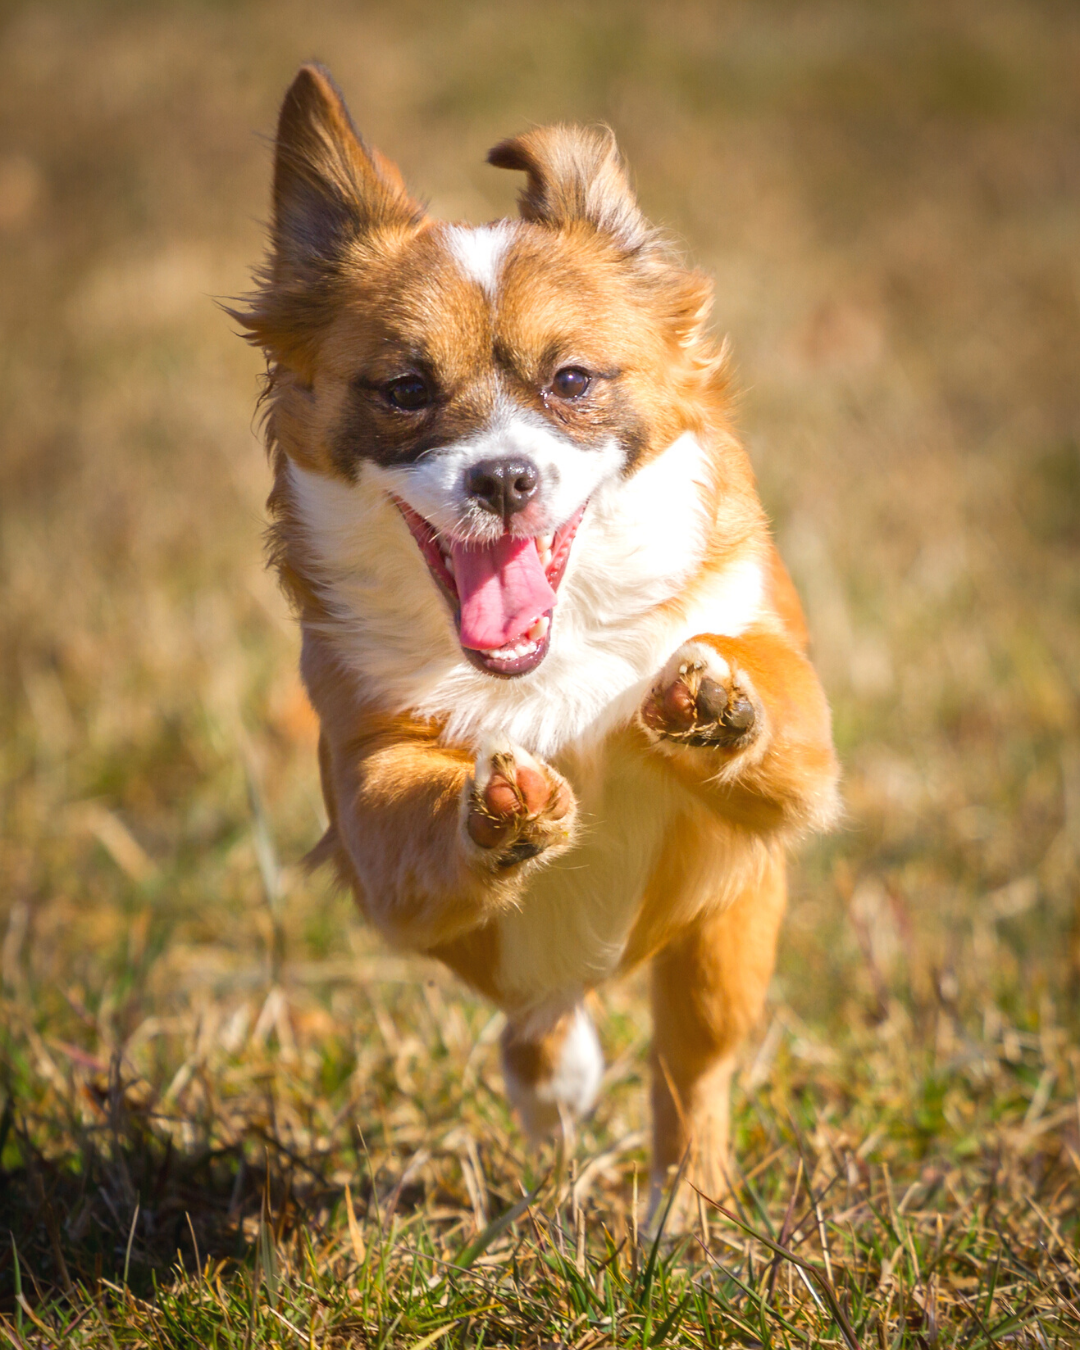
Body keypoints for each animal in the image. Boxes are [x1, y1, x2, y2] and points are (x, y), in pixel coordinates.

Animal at [238, 65, 842, 1215]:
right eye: (407, 390)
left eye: (571, 381)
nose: (505, 477)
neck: (546, 661)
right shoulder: (372, 798)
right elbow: (418, 814)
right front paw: (500, 807)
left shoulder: (783, 732)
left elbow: (780, 713)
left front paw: (717, 704)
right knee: (540, 1018)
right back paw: (559, 1084)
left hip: (722, 939)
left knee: (691, 1066)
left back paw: (686, 1210)